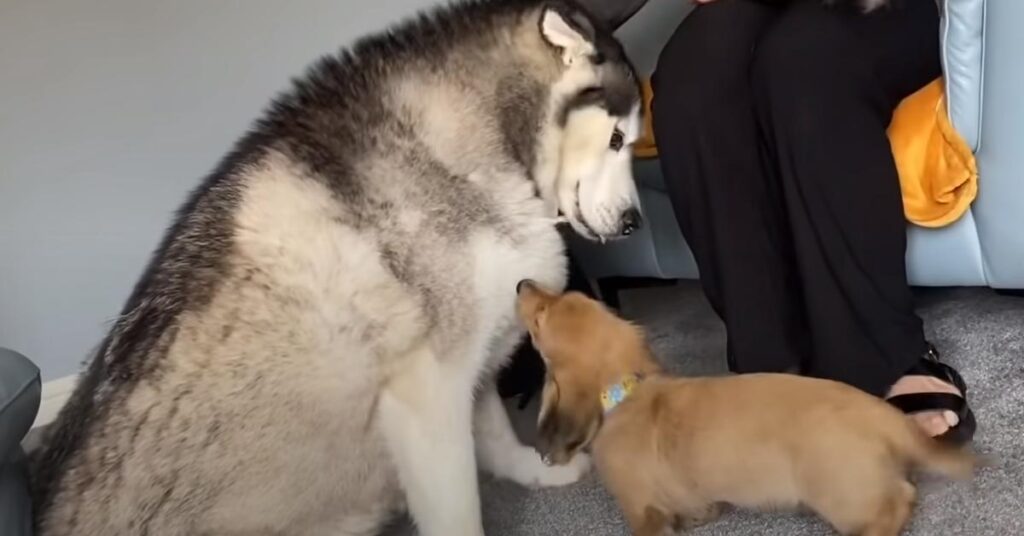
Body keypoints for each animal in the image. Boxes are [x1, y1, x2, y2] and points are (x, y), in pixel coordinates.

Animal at [516, 280, 970, 536]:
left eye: (540, 318)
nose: (521, 283)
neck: (625, 392)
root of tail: (880, 415)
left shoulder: (639, 508)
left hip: (840, 498)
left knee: (898, 502)